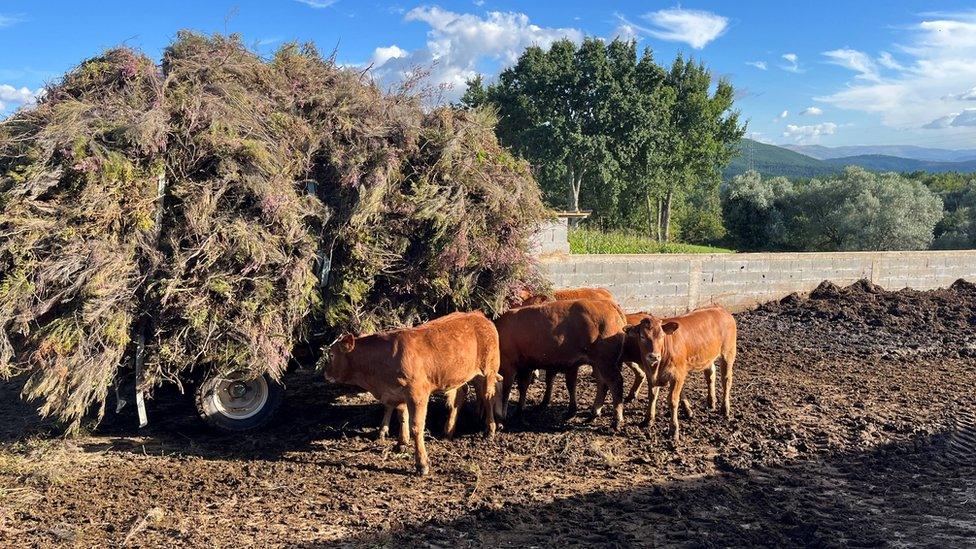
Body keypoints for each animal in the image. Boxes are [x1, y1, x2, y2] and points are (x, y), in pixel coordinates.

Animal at [324, 310, 500, 474]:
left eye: (331, 355)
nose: (325, 373)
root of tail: (478, 315)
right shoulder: (397, 392)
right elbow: (402, 417)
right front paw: (401, 443)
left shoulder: (417, 394)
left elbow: (416, 426)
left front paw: (422, 463)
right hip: (462, 375)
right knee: (460, 397)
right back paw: (448, 430)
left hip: (488, 371)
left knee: (488, 397)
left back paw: (490, 430)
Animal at [496, 298, 624, 426]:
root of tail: (606, 303)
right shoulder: (526, 365)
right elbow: (523, 387)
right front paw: (518, 412)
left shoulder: (509, 365)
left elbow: (506, 390)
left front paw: (503, 417)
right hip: (597, 363)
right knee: (602, 383)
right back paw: (594, 413)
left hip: (605, 361)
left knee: (616, 382)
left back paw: (616, 419)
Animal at [628, 306, 736, 444]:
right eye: (641, 336)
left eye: (662, 335)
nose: (654, 356)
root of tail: (720, 309)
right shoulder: (651, 375)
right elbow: (652, 396)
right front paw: (648, 419)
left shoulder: (677, 375)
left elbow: (673, 400)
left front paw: (674, 430)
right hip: (708, 357)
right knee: (710, 374)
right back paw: (711, 402)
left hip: (728, 353)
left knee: (726, 380)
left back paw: (725, 408)